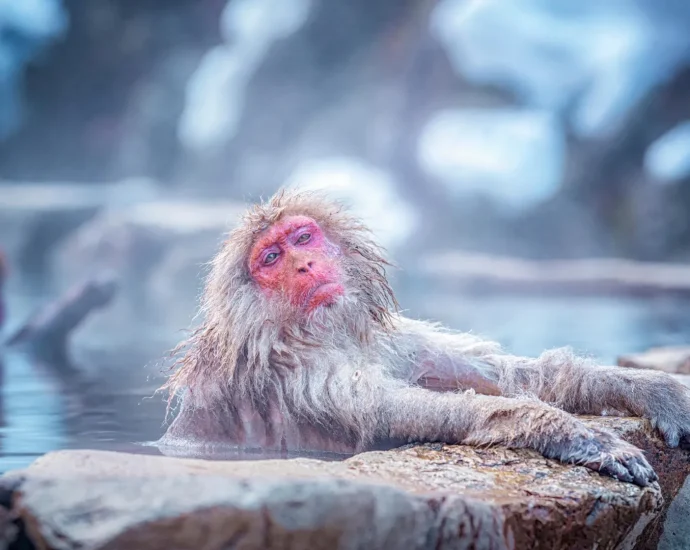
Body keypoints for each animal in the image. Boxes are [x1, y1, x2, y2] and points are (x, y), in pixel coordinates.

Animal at [157, 189, 690, 487]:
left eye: (303, 239)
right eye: (270, 258)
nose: (305, 265)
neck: (323, 334)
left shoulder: (391, 340)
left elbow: (513, 376)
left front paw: (655, 389)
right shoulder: (301, 376)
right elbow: (391, 414)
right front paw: (575, 434)